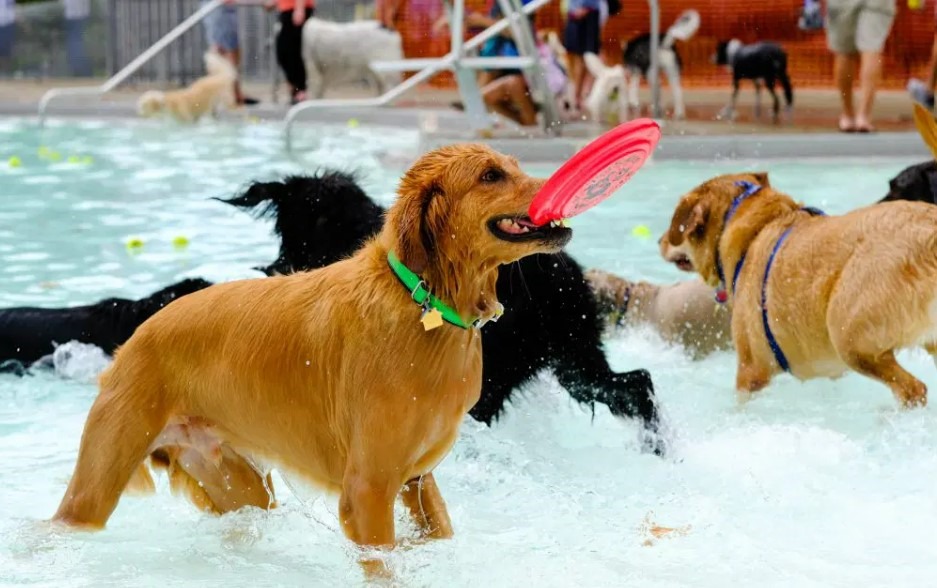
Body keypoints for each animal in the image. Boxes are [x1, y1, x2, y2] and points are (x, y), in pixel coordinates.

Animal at [0, 172, 664, 452]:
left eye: (294, 236)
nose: (272, 273)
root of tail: (565, 272)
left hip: (539, 364)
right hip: (572, 357)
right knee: (633, 384)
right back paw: (660, 447)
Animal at [660, 172, 937, 406]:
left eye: (676, 226)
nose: (660, 242)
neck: (755, 231)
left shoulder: (750, 372)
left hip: (848, 336)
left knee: (914, 390)